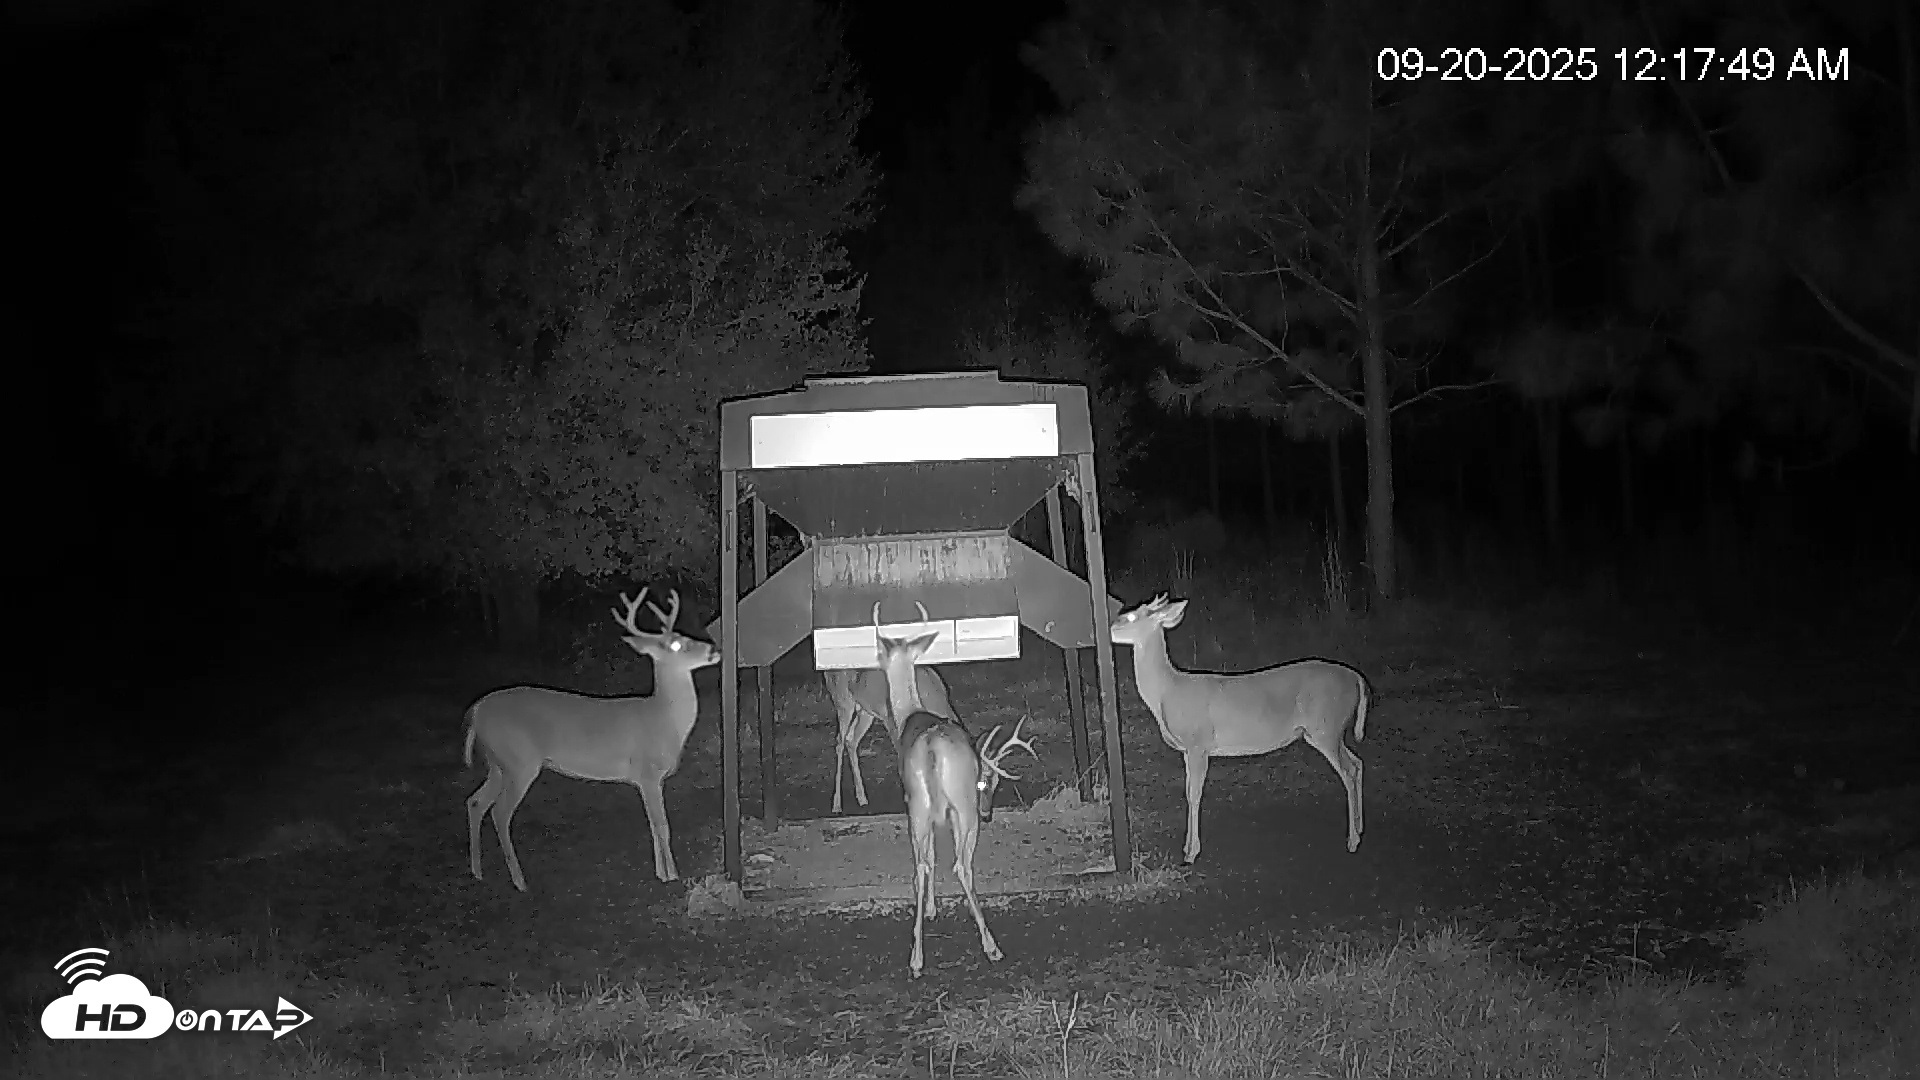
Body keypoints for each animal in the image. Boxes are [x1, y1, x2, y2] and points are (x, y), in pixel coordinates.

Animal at [463, 587, 718, 891]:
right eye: (676, 645)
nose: (714, 649)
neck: (663, 719)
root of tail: (476, 711)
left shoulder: (646, 780)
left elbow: (653, 826)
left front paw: (660, 873)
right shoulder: (648, 773)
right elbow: (662, 826)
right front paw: (672, 876)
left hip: (498, 763)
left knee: (475, 802)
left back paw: (477, 871)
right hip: (518, 761)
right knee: (500, 812)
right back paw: (520, 881)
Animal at [825, 601, 955, 813]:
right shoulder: (890, 718)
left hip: (865, 711)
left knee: (852, 739)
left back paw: (862, 798)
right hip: (843, 702)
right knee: (839, 741)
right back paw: (836, 804)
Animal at [873, 603, 1036, 978]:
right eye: (987, 782)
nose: (988, 814)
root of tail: (932, 747)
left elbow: (931, 855)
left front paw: (932, 909)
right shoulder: (947, 809)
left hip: (921, 804)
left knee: (922, 865)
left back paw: (918, 958)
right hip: (960, 808)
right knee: (960, 865)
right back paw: (990, 947)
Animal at [1109, 593, 1367, 866]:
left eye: (1131, 616)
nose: (1107, 629)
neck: (1168, 691)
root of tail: (1357, 679)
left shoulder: (1198, 743)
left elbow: (1194, 794)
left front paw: (1191, 852)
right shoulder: (1188, 750)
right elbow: (1188, 791)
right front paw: (1187, 848)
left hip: (1326, 727)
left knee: (1349, 771)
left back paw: (1352, 841)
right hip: (1332, 730)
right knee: (1358, 762)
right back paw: (1359, 827)